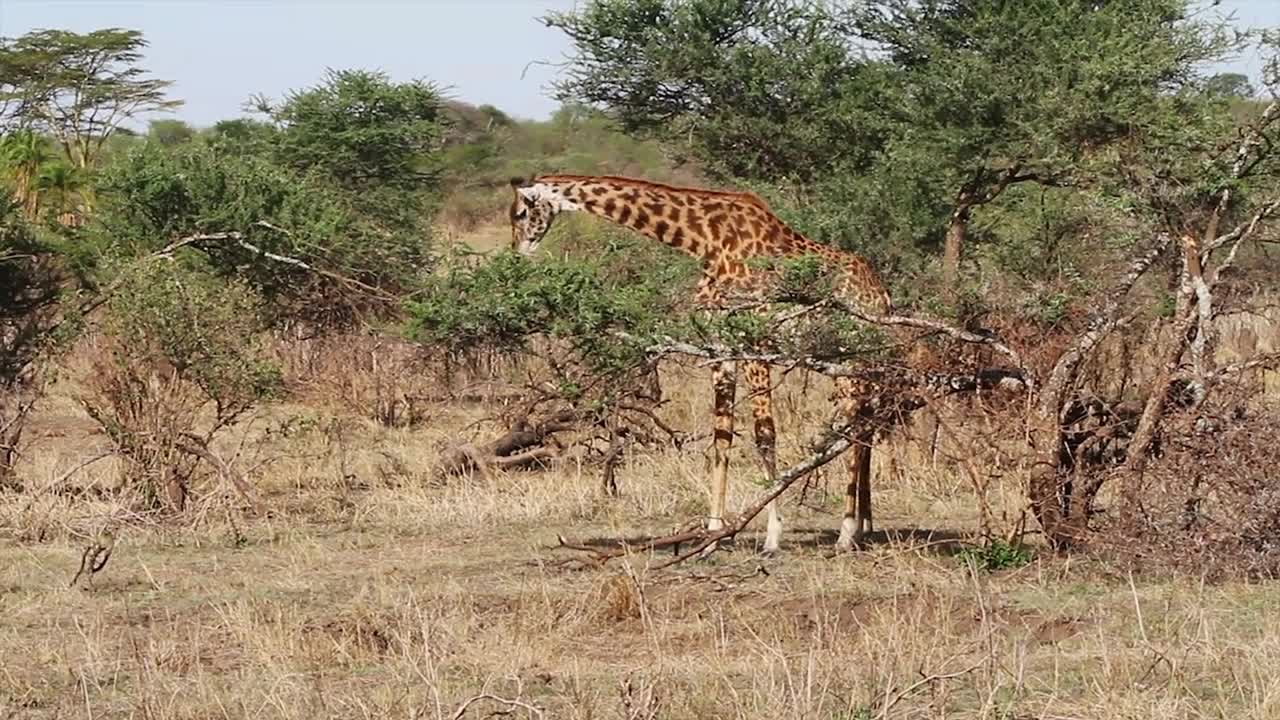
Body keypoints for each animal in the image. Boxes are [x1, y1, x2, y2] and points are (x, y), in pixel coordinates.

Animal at [506, 174, 890, 548]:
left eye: (521, 214)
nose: (517, 254)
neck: (705, 241)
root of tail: (882, 295)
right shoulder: (721, 349)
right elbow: (722, 436)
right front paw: (713, 531)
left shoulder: (754, 344)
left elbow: (764, 435)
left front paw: (772, 535)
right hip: (852, 360)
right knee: (866, 425)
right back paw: (863, 526)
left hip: (852, 356)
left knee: (857, 427)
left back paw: (846, 532)